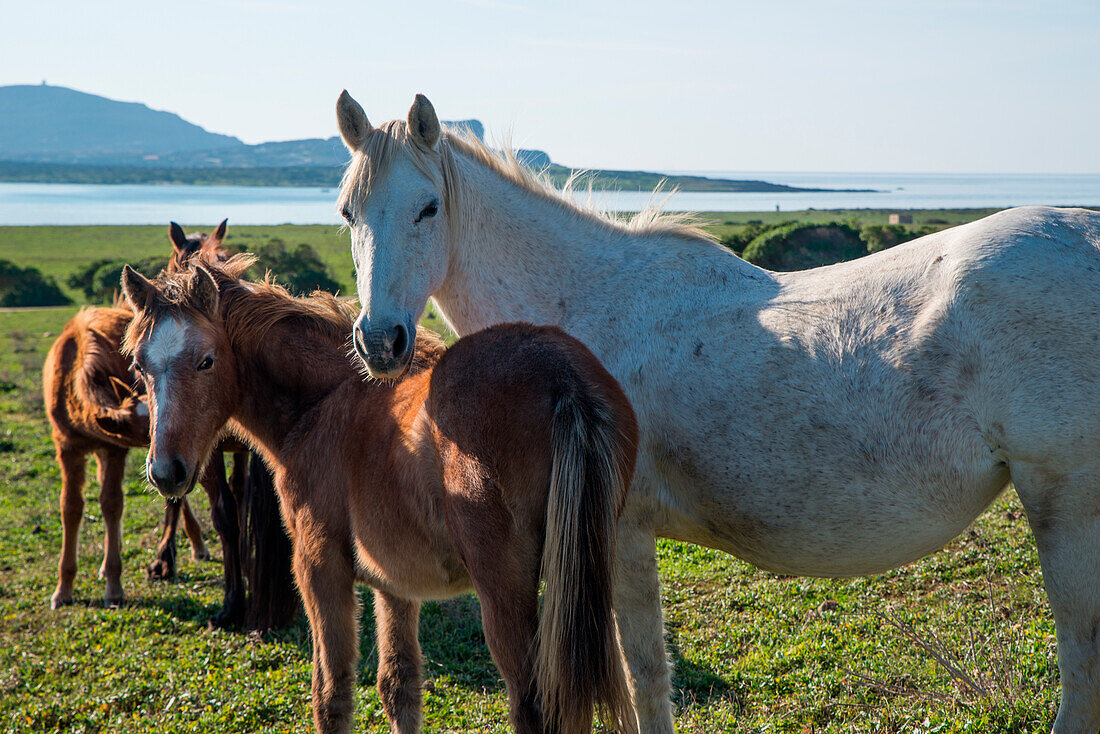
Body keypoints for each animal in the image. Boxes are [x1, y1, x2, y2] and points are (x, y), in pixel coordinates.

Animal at [45, 221, 277, 629]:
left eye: (227, 256)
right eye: (137, 365)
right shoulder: (198, 452)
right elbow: (222, 514)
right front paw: (232, 601)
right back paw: (165, 559)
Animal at [119, 255, 642, 730]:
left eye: (206, 361)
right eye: (139, 365)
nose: (166, 471)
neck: (323, 402)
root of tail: (561, 375)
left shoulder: (318, 565)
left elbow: (331, 696)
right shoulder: (394, 580)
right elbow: (399, 687)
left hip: (505, 589)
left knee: (534, 706)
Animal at [332, 91, 1100, 734]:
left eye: (427, 208)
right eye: (347, 214)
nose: (381, 341)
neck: (581, 310)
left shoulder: (621, 533)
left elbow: (645, 678)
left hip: (1066, 506)